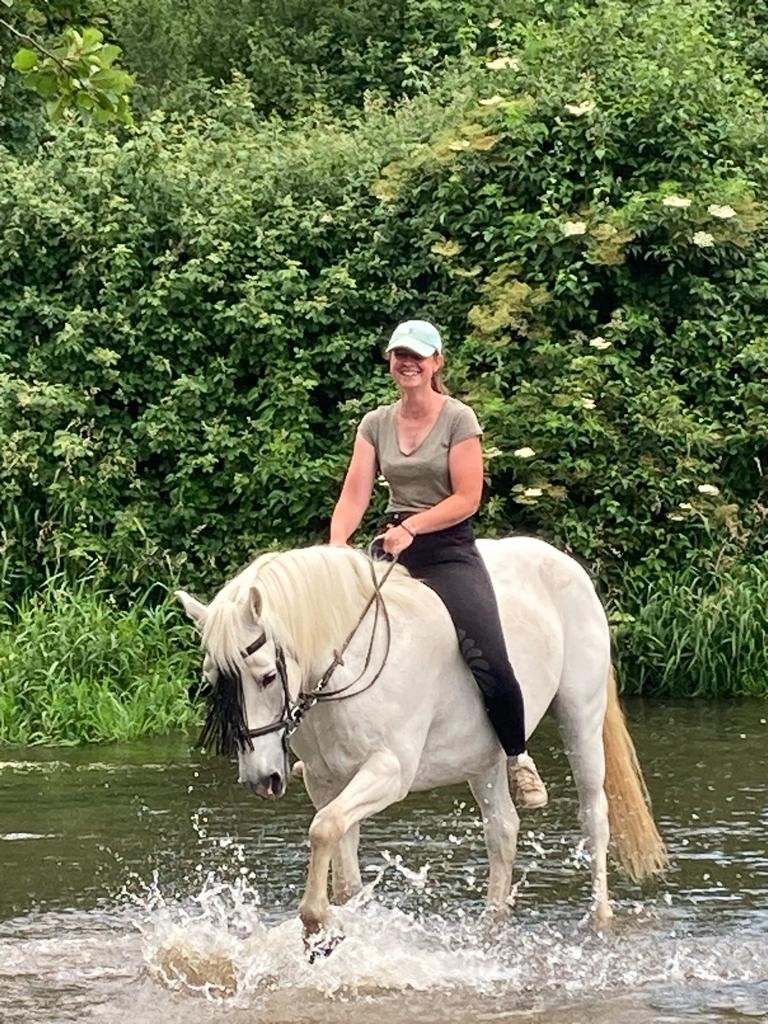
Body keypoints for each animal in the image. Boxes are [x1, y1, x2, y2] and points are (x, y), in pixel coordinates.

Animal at [176, 536, 667, 942]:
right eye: (213, 681)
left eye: (266, 676)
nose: (262, 780)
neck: (348, 667)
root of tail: (564, 562)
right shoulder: (326, 781)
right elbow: (341, 859)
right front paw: (343, 925)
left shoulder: (388, 771)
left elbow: (323, 829)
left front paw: (316, 922)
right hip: (484, 758)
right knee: (502, 830)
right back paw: (491, 924)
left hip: (580, 716)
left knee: (593, 817)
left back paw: (600, 918)